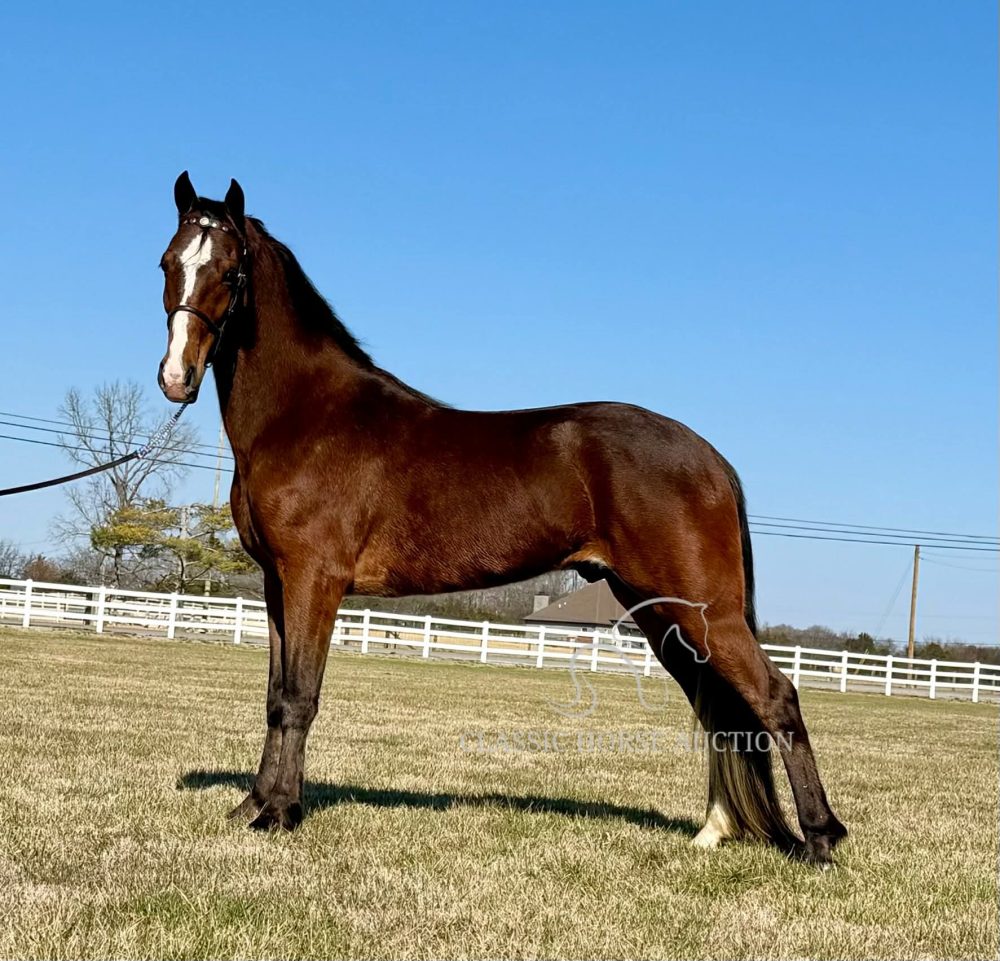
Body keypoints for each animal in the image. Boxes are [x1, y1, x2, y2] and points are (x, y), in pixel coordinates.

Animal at [157, 172, 847, 865]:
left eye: (230, 271)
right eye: (167, 263)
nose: (176, 377)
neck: (306, 416)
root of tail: (709, 456)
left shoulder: (313, 580)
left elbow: (300, 696)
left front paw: (279, 814)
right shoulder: (278, 584)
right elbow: (275, 697)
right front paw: (254, 803)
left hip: (702, 612)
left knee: (775, 697)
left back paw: (820, 838)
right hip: (660, 614)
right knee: (719, 711)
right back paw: (715, 830)